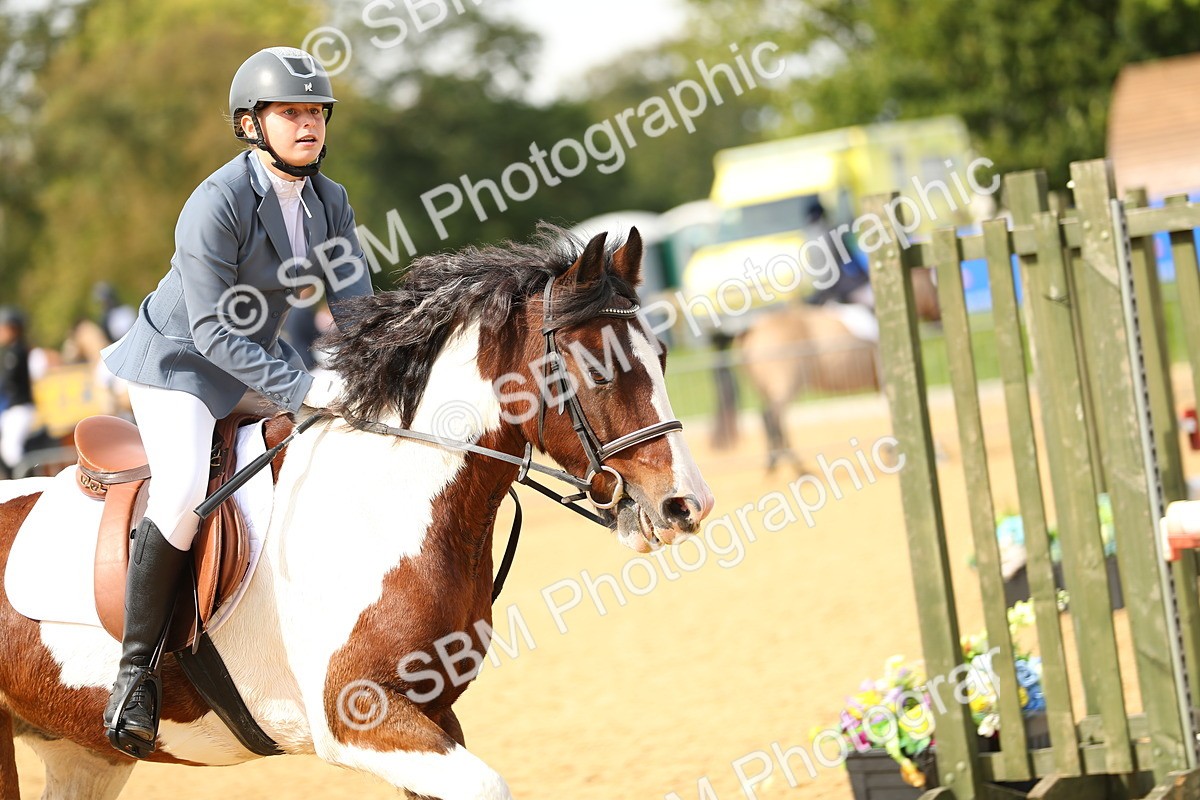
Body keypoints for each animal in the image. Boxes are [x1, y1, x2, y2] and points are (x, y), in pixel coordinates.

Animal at [0, 226, 714, 800]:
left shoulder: (431, 715)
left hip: (82, 753)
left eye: (662, 357)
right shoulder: (359, 719)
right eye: (598, 367)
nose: (687, 505)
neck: (391, 495)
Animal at [737, 267, 941, 473]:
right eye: (935, 284)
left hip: (766, 387)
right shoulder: (888, 379)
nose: (939, 320)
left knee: (769, 418)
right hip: (786, 382)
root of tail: (754, 329)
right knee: (774, 417)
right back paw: (796, 466)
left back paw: (775, 462)